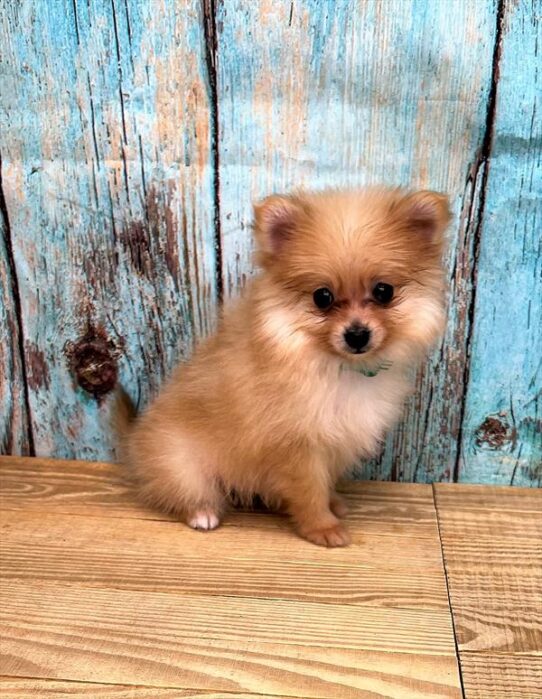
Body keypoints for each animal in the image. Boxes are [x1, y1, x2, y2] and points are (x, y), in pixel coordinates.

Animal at [117, 187, 452, 548]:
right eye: (322, 297)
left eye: (383, 291)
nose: (357, 334)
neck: (335, 367)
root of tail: (135, 440)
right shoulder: (296, 444)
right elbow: (309, 492)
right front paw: (322, 527)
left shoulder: (332, 440)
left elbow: (325, 482)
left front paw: (333, 502)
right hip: (181, 464)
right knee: (182, 490)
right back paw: (202, 513)